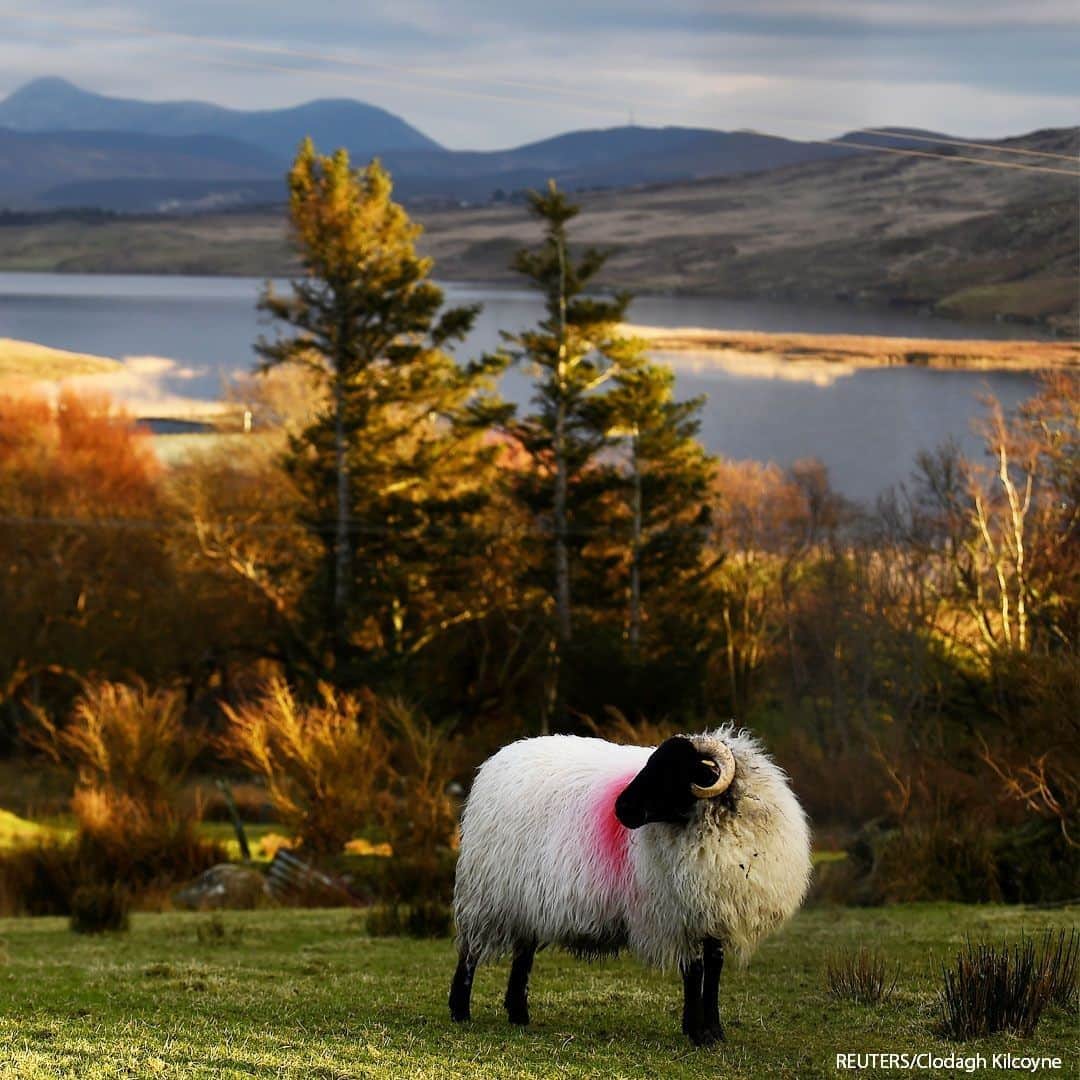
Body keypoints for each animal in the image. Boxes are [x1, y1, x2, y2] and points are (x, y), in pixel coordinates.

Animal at [448, 727, 811, 1045]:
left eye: (674, 771)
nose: (620, 808)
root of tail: (499, 760)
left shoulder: (711, 912)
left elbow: (714, 969)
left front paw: (713, 1031)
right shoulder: (676, 914)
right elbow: (694, 972)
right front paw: (697, 1033)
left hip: (526, 899)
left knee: (522, 955)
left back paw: (518, 1015)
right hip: (488, 893)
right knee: (470, 952)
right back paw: (460, 1011)